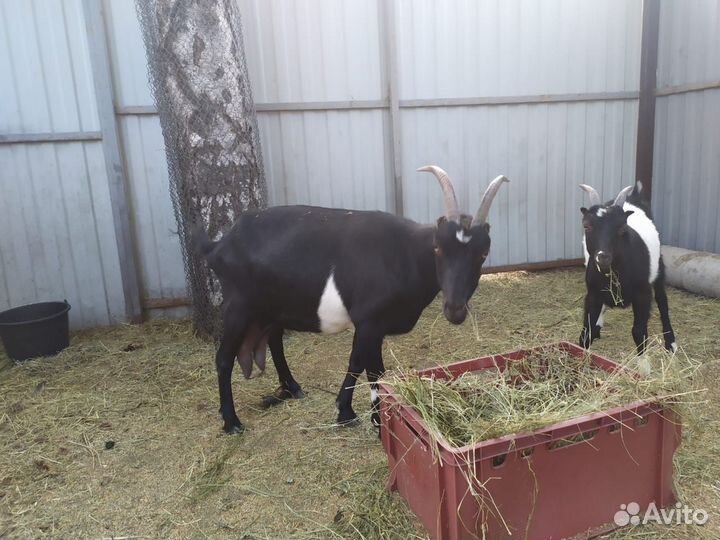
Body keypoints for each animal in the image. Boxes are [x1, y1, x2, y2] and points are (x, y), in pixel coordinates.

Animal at [195, 166, 509, 433]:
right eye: (438, 248)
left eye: (482, 253)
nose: (455, 309)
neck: (404, 254)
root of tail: (219, 245)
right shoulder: (370, 321)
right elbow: (374, 371)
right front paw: (378, 423)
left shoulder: (367, 325)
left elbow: (355, 361)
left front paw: (344, 412)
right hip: (238, 307)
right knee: (223, 358)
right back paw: (232, 422)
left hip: (271, 308)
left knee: (274, 342)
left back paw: (292, 388)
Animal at [578, 182, 677, 355]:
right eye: (586, 226)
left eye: (622, 228)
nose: (603, 256)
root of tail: (634, 196)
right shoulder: (593, 293)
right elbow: (586, 332)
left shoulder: (642, 294)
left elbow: (639, 332)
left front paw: (644, 363)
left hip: (658, 266)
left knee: (662, 300)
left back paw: (671, 343)